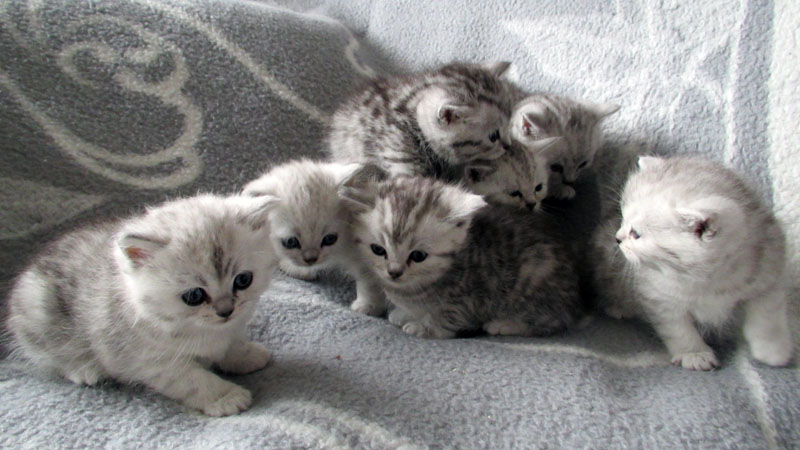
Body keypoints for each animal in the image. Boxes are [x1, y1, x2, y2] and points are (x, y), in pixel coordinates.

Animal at [6, 194, 280, 416]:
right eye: (194, 296)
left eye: (243, 280)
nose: (226, 311)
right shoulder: (153, 362)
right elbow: (195, 380)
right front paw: (226, 397)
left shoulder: (231, 328)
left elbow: (231, 344)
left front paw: (246, 355)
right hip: (40, 313)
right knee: (54, 357)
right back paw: (84, 370)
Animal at [242, 159, 387, 316]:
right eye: (290, 242)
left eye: (329, 239)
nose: (311, 259)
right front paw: (295, 268)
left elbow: (368, 278)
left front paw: (369, 305)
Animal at [341, 176, 583, 339]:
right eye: (378, 250)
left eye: (418, 256)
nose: (394, 272)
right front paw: (404, 314)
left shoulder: (469, 299)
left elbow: (446, 319)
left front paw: (423, 327)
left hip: (537, 277)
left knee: (550, 321)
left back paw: (504, 324)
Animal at [591, 156, 794, 370]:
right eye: (623, 216)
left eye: (636, 234)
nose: (618, 238)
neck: (707, 278)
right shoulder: (657, 295)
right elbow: (678, 329)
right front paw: (694, 354)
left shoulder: (769, 268)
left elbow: (767, 315)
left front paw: (773, 350)